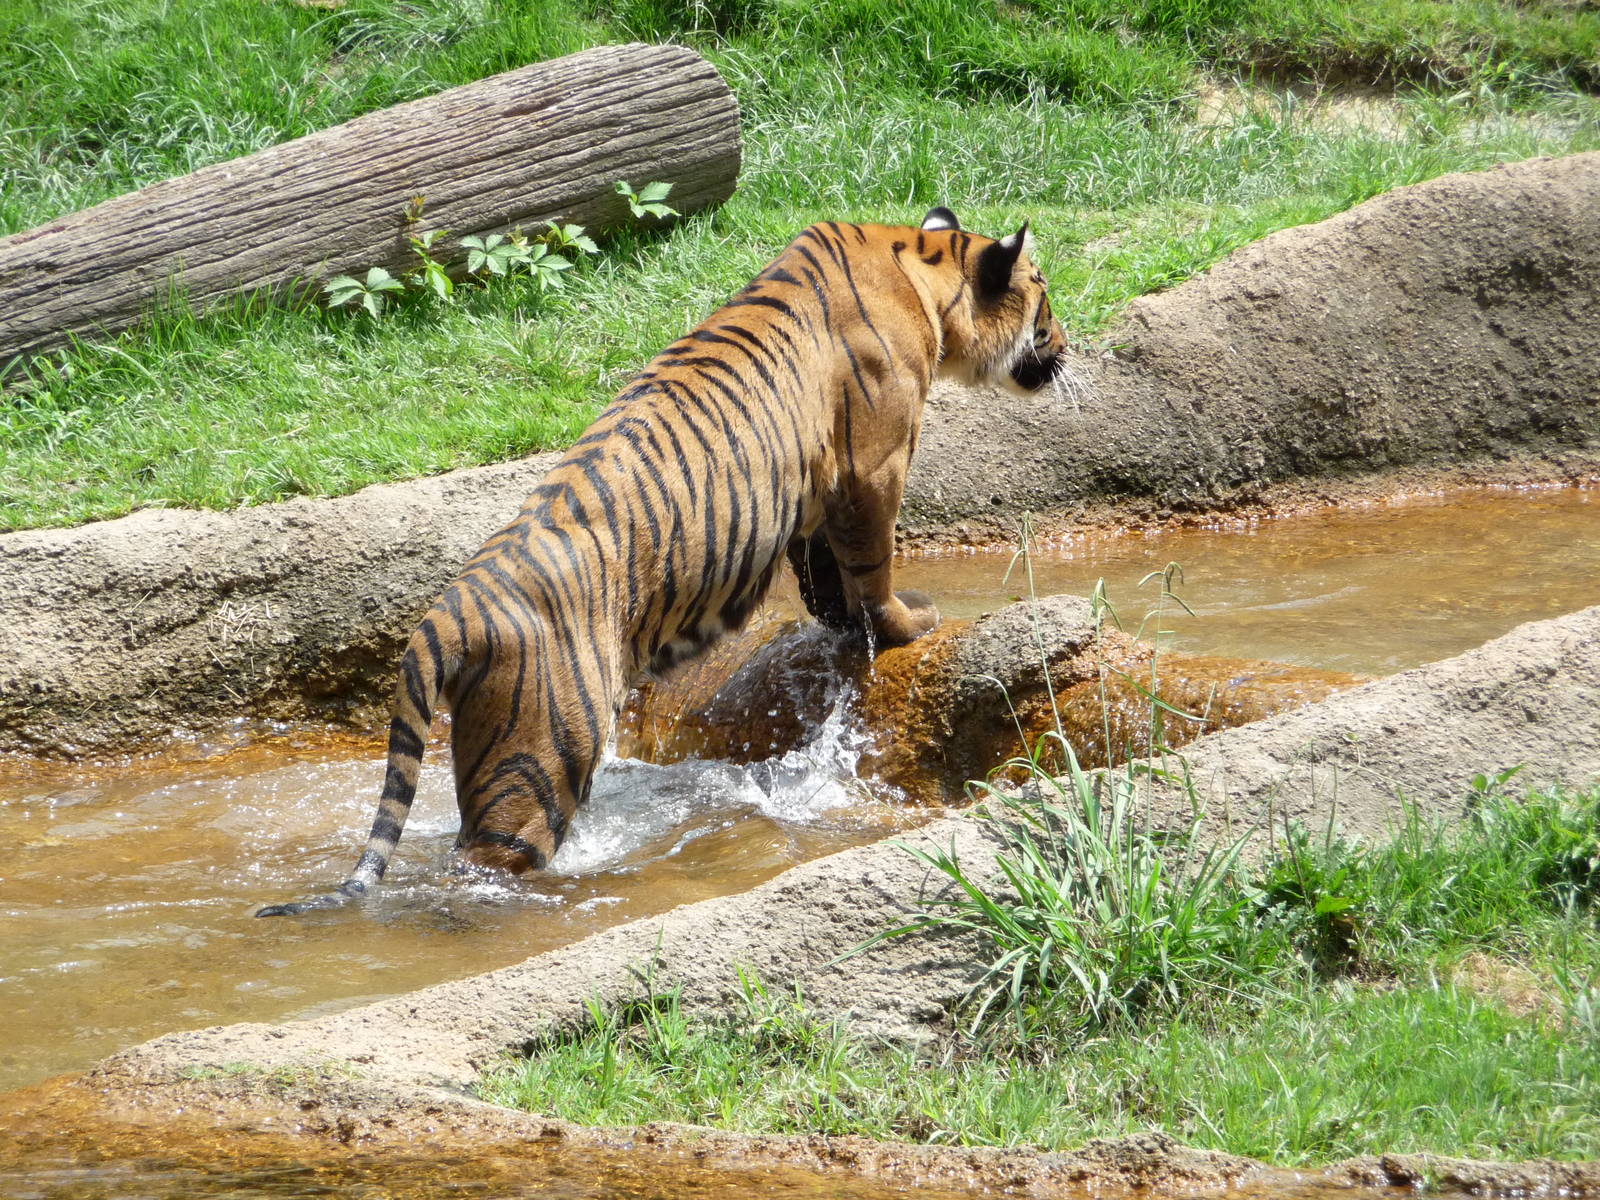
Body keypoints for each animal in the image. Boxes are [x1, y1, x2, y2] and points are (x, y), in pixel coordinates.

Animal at [257, 206, 1068, 916]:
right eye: (1046, 295)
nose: (1065, 346)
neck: (923, 271)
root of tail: (446, 613)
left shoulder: (818, 486)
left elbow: (823, 579)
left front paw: (844, 627)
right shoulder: (875, 463)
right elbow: (871, 566)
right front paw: (905, 624)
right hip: (544, 750)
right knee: (489, 858)